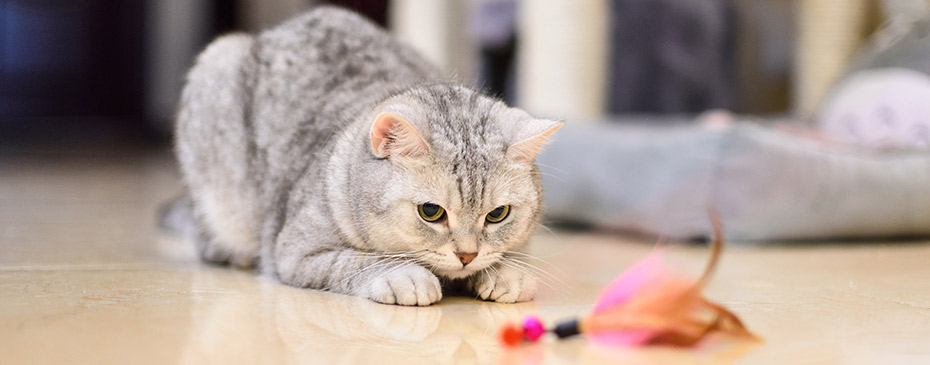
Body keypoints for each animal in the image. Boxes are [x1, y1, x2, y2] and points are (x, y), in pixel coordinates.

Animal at [171, 7, 560, 306]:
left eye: (497, 214)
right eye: (431, 212)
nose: (467, 255)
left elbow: (512, 256)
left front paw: (507, 273)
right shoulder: (297, 252)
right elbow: (357, 261)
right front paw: (406, 276)